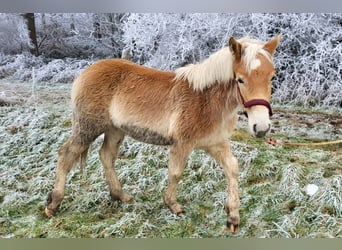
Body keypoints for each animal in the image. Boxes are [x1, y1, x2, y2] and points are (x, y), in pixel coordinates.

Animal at [44, 34, 280, 232]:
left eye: (271, 77)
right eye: (240, 79)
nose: (261, 128)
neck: (206, 99)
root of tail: (85, 72)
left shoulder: (215, 143)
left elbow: (232, 168)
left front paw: (232, 217)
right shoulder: (182, 143)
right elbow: (175, 173)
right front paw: (173, 205)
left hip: (115, 129)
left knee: (106, 156)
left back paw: (120, 195)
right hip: (87, 127)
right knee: (66, 155)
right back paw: (53, 203)